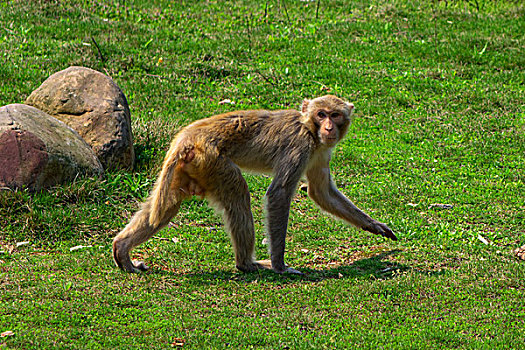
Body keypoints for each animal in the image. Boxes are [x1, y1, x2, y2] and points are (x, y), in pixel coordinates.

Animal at [112, 94, 396, 274]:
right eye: (321, 114)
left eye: (335, 115)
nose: (328, 128)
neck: (310, 130)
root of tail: (186, 138)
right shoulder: (300, 146)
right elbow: (279, 194)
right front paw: (280, 266)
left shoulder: (321, 151)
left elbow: (321, 192)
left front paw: (373, 225)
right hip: (212, 161)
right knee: (238, 194)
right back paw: (246, 264)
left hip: (191, 168)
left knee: (166, 207)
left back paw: (122, 250)